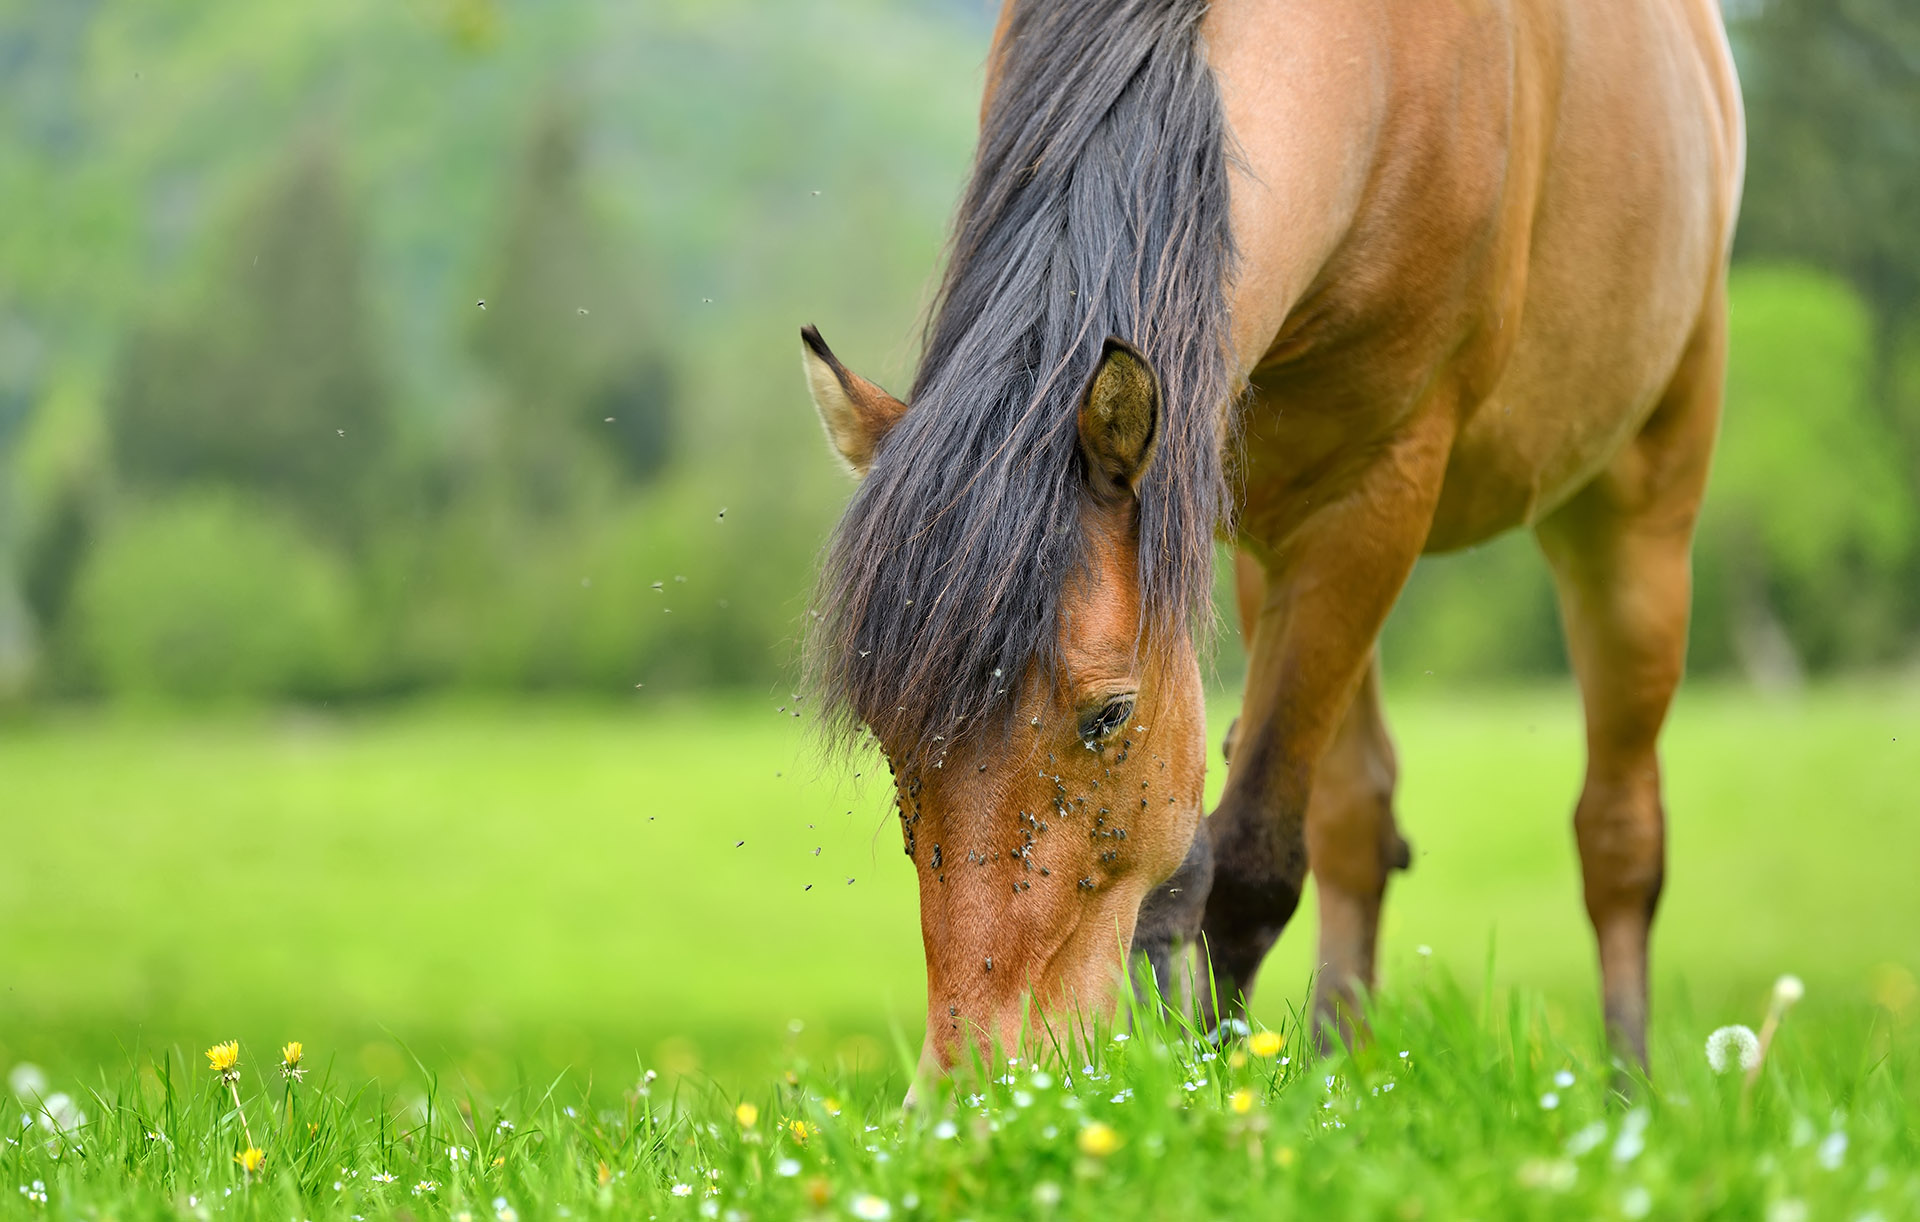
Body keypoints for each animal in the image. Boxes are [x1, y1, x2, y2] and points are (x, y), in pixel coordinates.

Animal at [794, 0, 1743, 1075]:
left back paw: (1627, 1084)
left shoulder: (1373, 493)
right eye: (888, 733)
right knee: (1357, 820)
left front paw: (1214, 1084)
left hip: (1631, 521)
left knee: (1618, 836)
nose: (978, 1078)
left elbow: (1249, 865)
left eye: (1108, 716)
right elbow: (1202, 869)